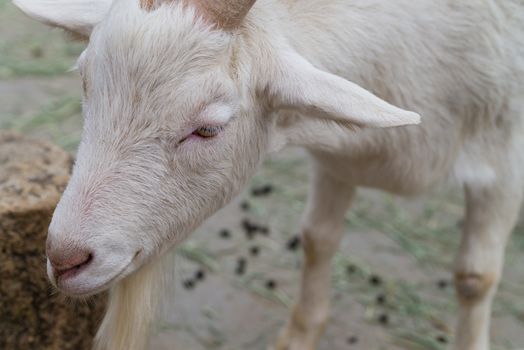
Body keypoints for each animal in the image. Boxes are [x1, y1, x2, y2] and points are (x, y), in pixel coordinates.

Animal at [13, 0, 524, 350]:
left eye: (208, 128)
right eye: (85, 81)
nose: (65, 258)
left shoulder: (505, 159)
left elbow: (475, 278)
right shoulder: (339, 158)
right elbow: (318, 238)